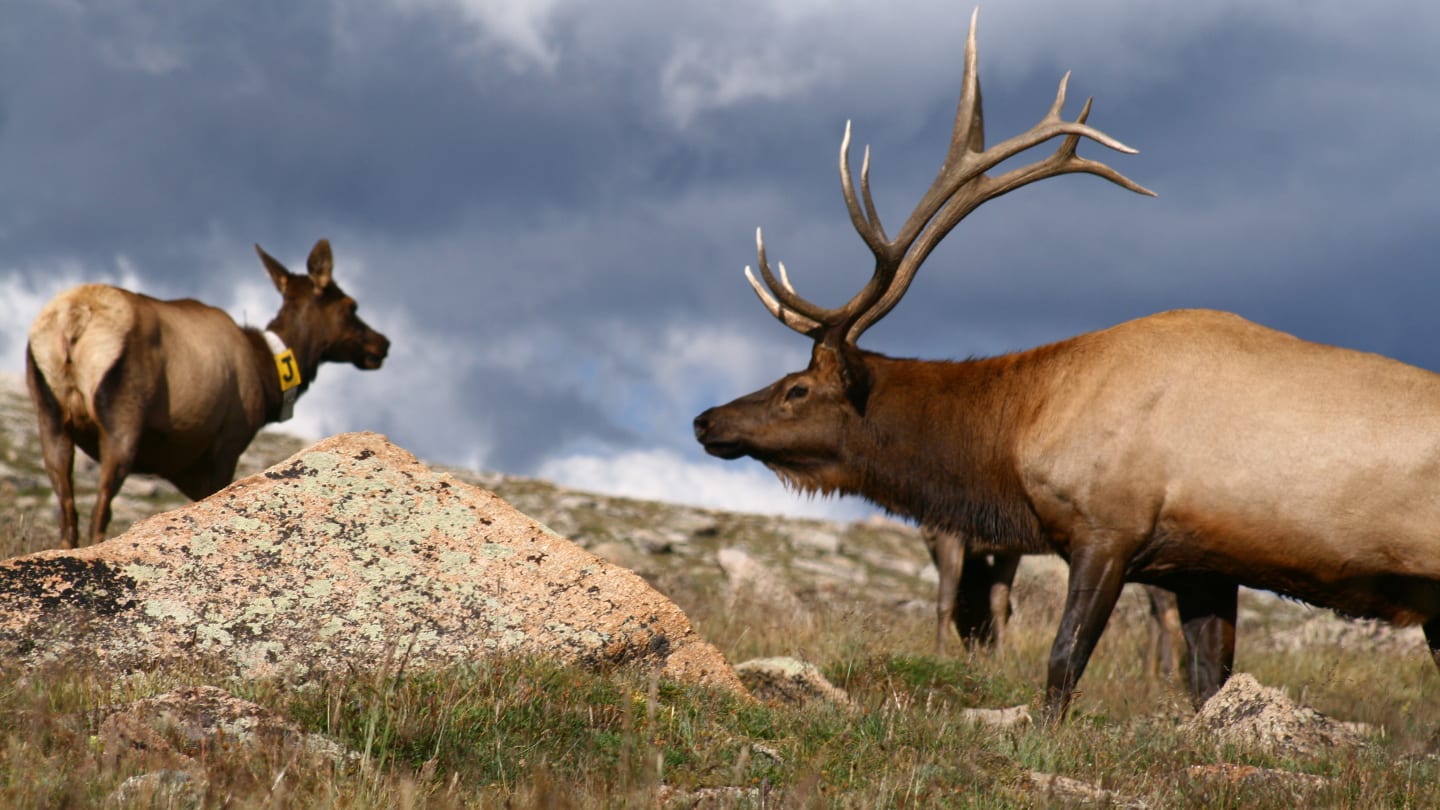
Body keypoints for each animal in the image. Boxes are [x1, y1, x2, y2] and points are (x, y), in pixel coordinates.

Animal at [28, 236, 388, 544]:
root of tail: (73, 319)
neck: (269, 379)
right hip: (122, 414)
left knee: (67, 512)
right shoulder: (228, 441)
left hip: (49, 413)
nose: (381, 344)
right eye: (351, 306)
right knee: (99, 510)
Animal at [688, 9, 1440, 720]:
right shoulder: (1203, 566)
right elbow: (1207, 685)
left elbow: (1063, 662)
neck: (1025, 427)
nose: (705, 419)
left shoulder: (1107, 527)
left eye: (796, 389)